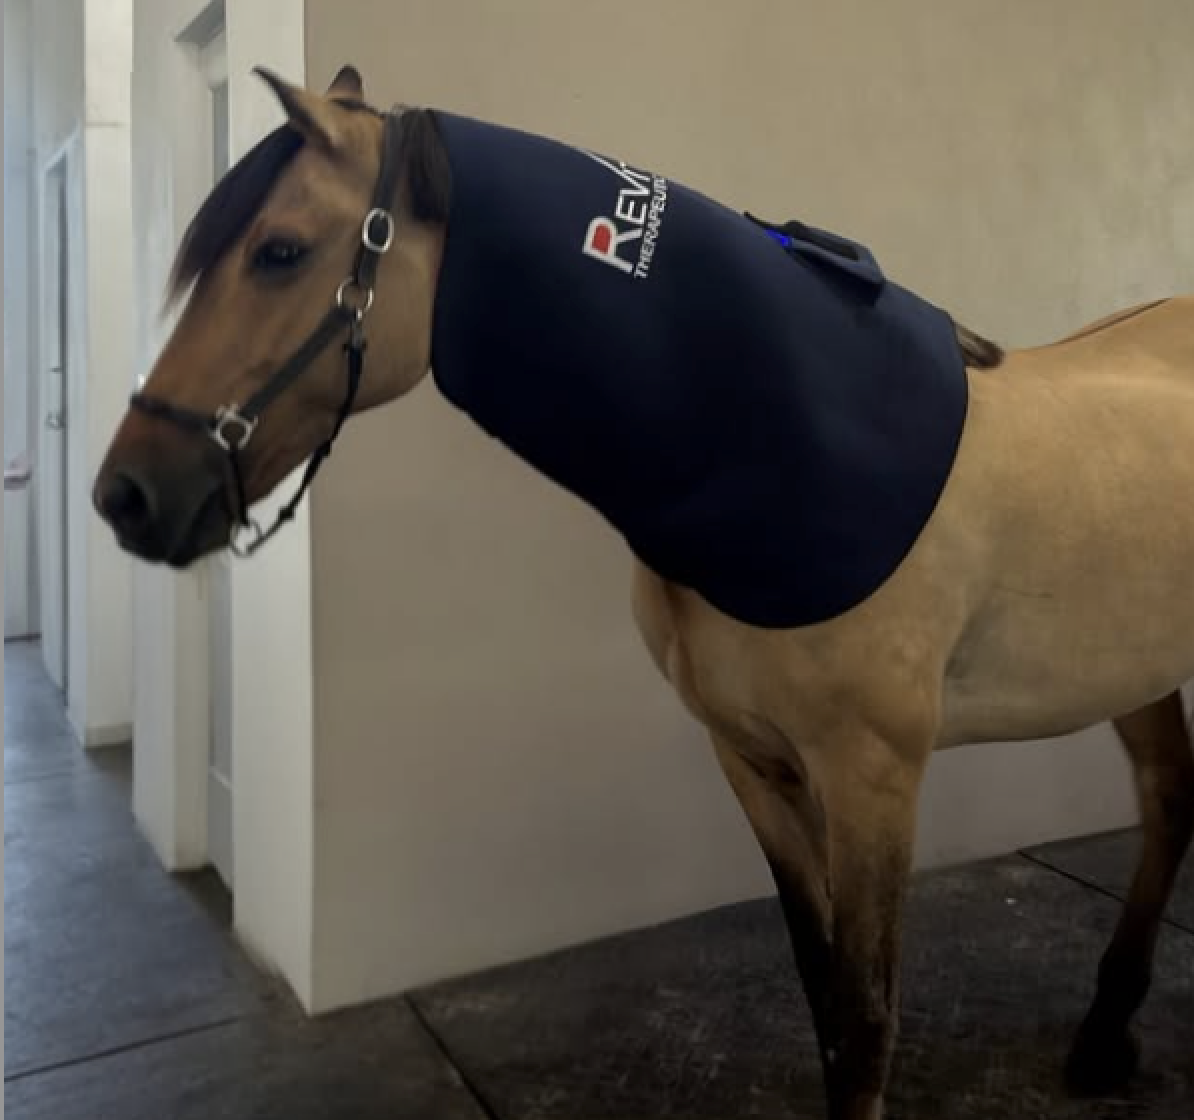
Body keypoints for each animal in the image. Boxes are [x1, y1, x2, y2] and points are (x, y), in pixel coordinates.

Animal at [92, 65, 1194, 1120]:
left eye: (278, 251)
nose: (125, 495)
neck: (771, 446)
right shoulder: (751, 760)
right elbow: (822, 990)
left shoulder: (873, 776)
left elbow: (866, 1016)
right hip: (1136, 672)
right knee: (1164, 804)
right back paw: (1103, 1035)